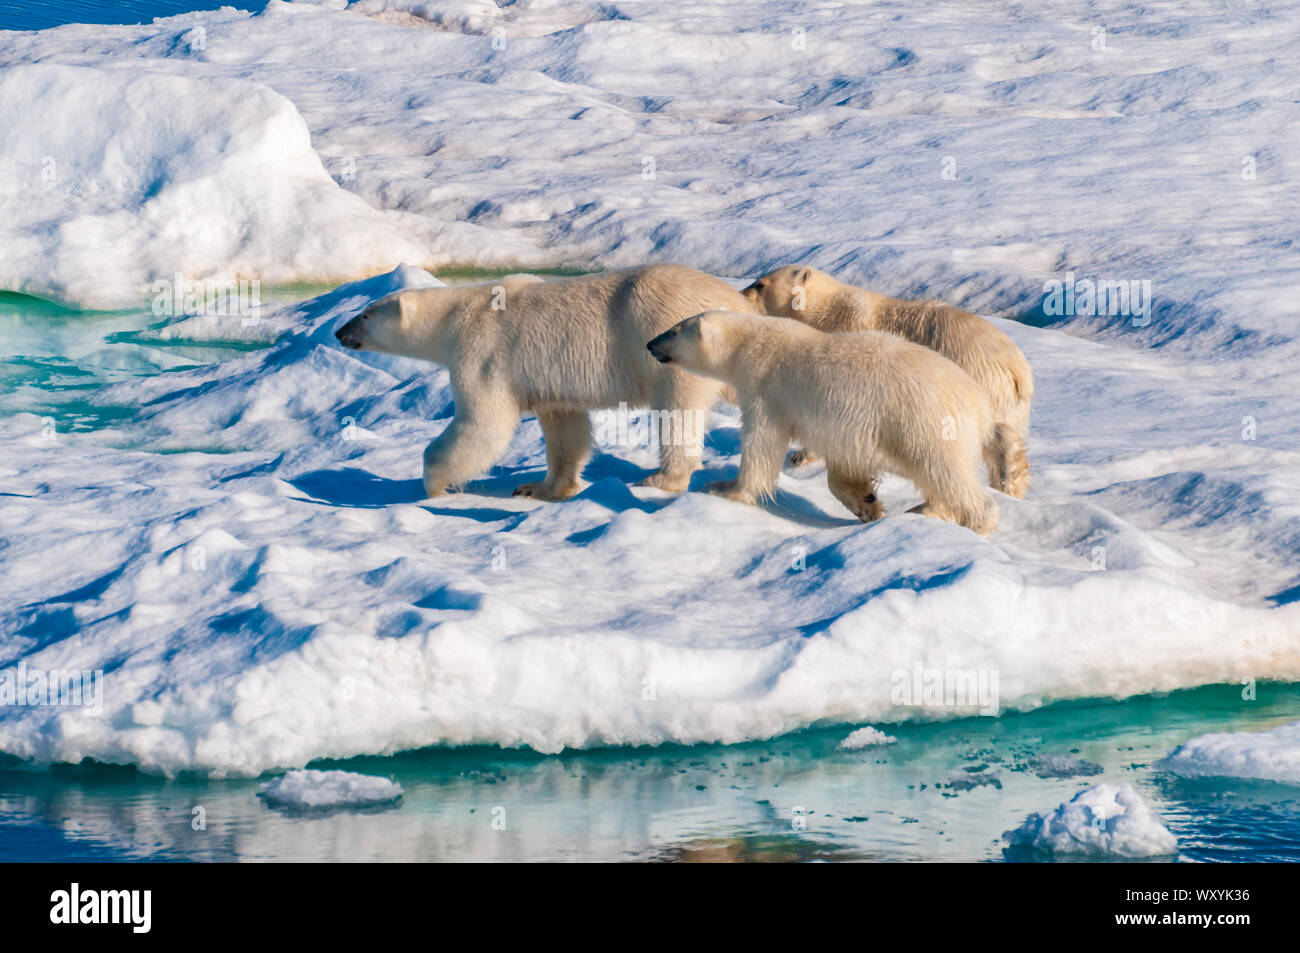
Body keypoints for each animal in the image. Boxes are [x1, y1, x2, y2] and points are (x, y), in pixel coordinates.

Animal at [335, 266, 757, 500]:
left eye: (366, 314)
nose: (339, 331)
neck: (457, 314)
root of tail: (734, 301)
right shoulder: (550, 383)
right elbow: (564, 426)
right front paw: (541, 488)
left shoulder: (482, 351)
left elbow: (483, 423)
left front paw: (436, 485)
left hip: (668, 343)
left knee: (677, 410)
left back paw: (661, 477)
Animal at [646, 310, 1002, 536]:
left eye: (674, 330)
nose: (650, 344)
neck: (750, 343)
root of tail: (978, 400)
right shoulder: (849, 428)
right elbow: (845, 469)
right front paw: (867, 504)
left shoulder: (767, 389)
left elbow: (762, 445)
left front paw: (724, 488)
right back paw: (926, 509)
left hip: (924, 419)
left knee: (943, 469)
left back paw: (972, 520)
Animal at [742, 265, 1033, 498]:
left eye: (760, 284)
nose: (741, 293)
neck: (824, 310)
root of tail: (1017, 368)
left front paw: (800, 455)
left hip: (976, 377)